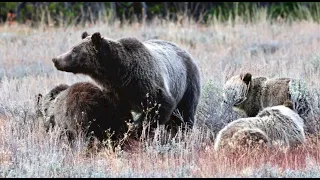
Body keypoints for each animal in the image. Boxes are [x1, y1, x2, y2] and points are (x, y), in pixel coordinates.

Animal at [51, 31, 201, 131]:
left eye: (74, 50)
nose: (56, 60)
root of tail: (184, 50)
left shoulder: (147, 84)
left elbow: (159, 106)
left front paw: (139, 128)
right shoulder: (116, 92)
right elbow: (119, 113)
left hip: (187, 83)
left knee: (184, 113)